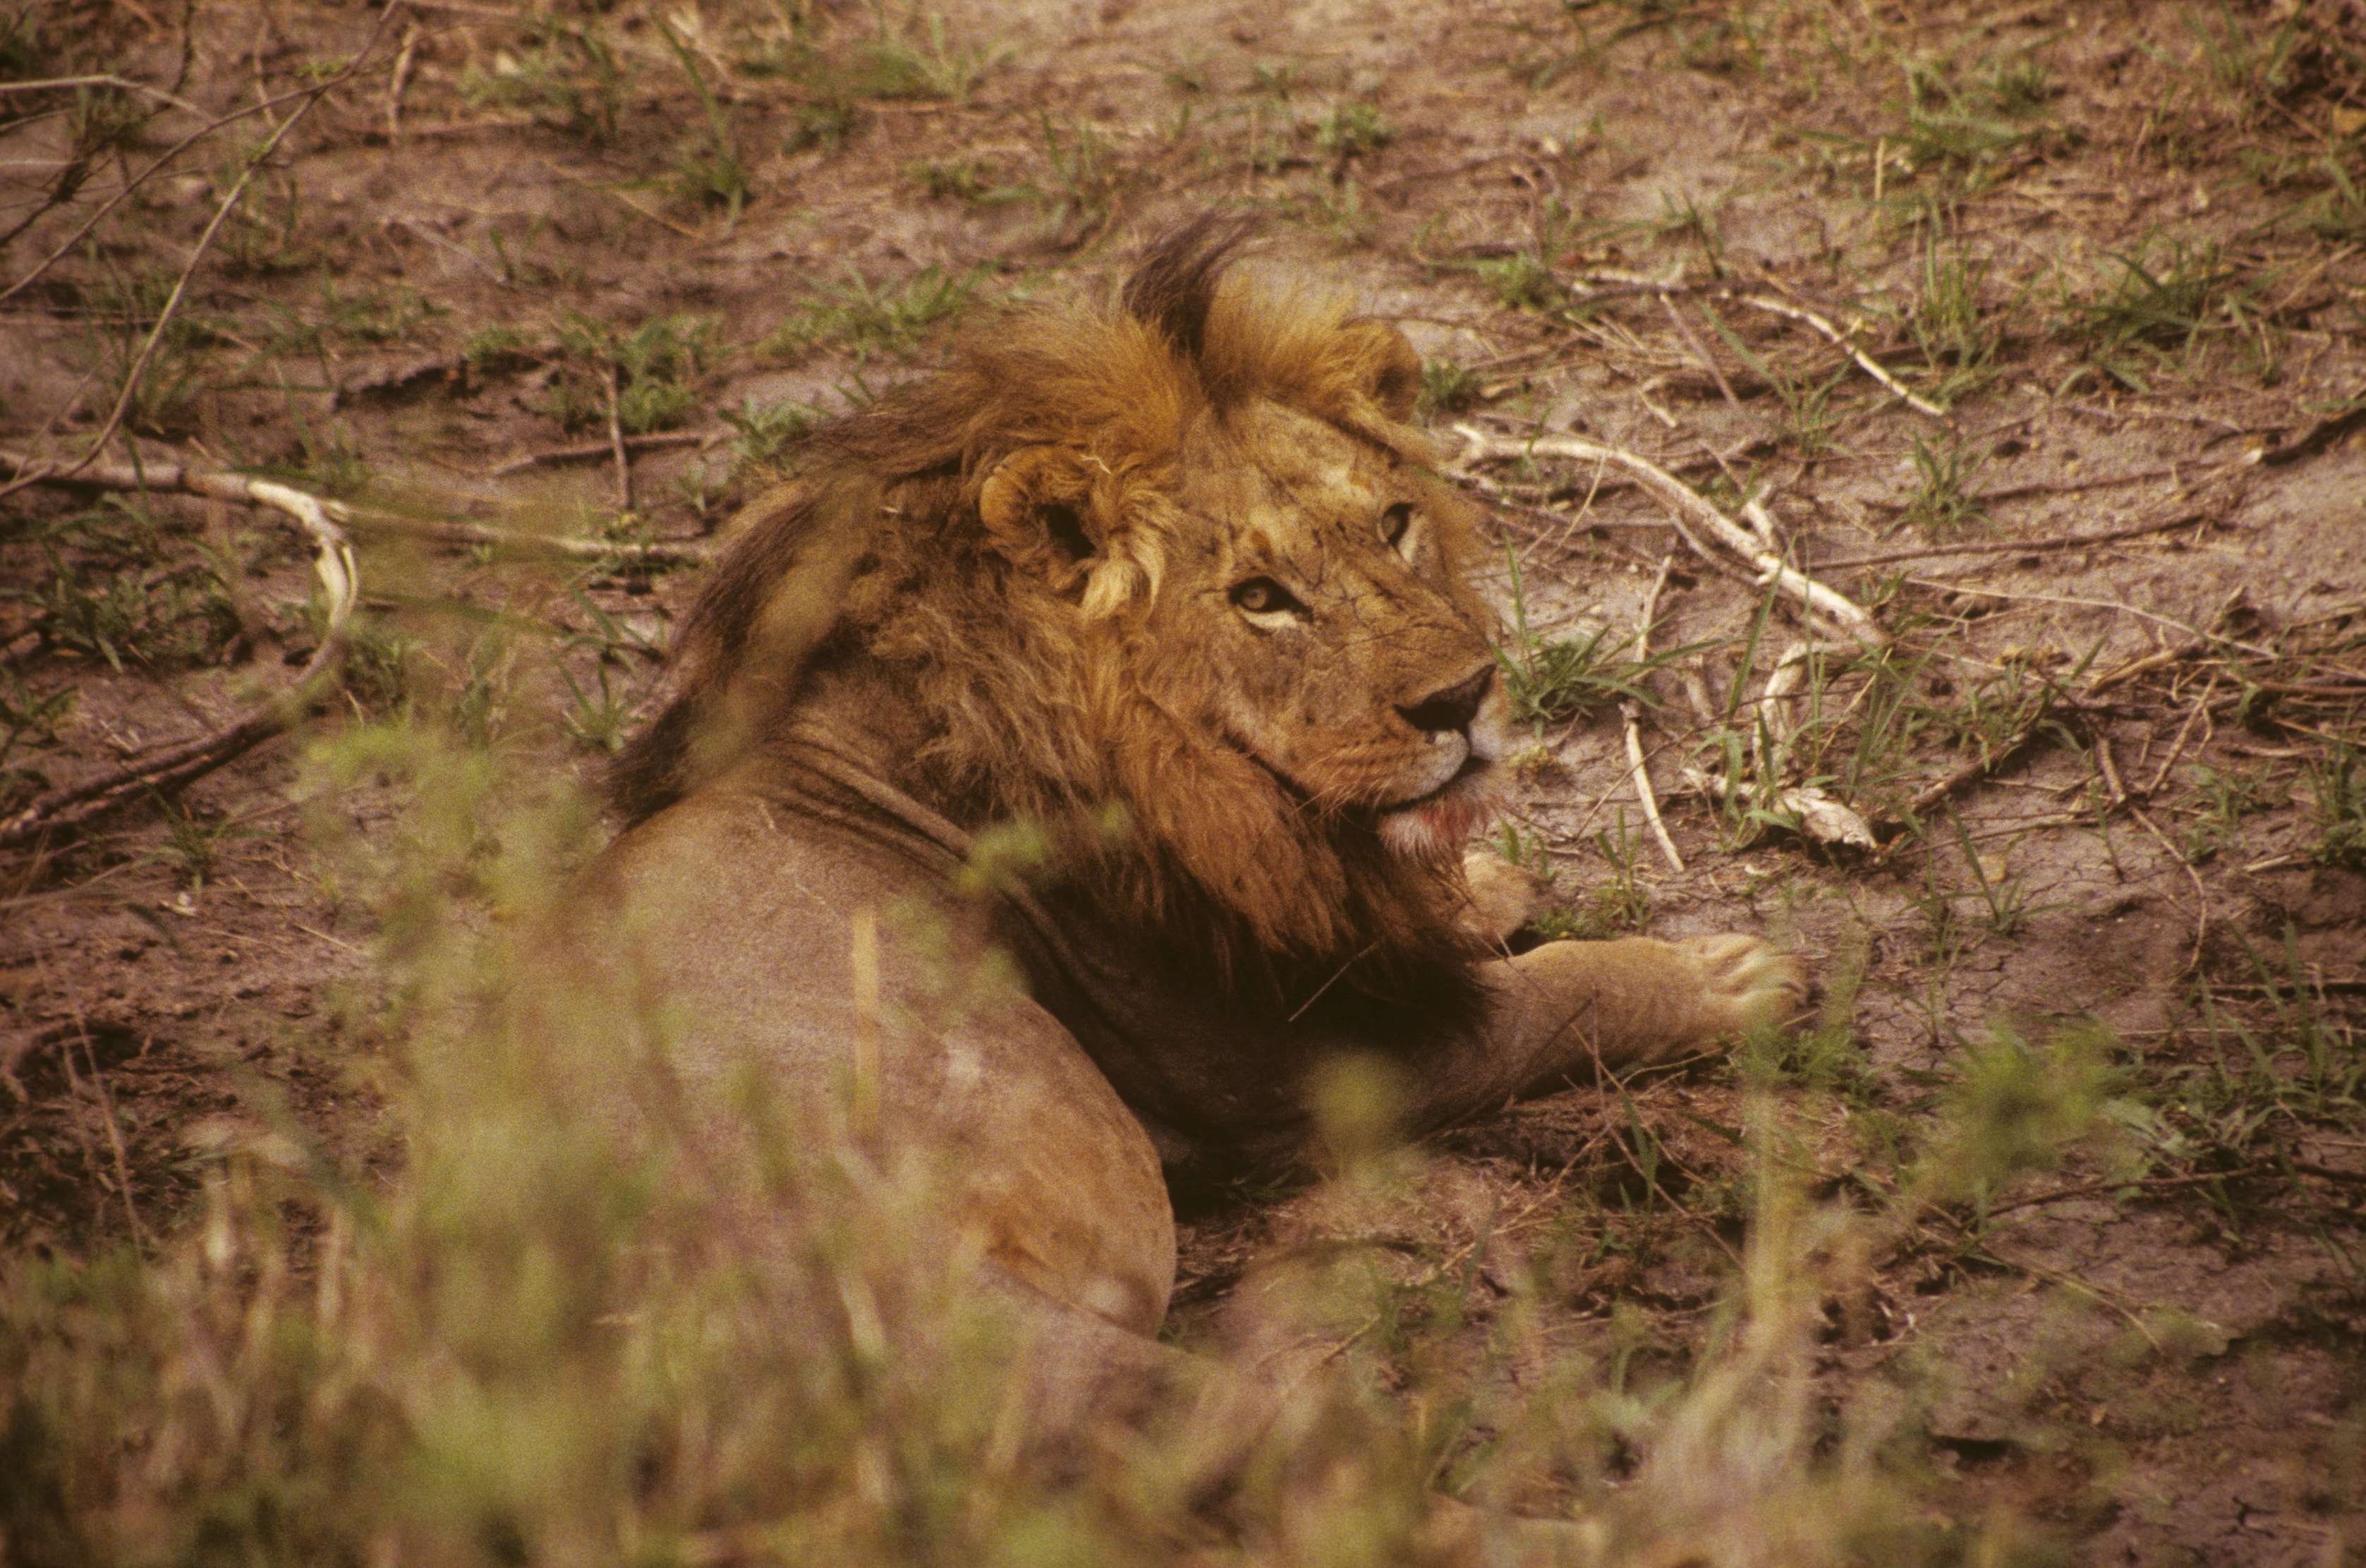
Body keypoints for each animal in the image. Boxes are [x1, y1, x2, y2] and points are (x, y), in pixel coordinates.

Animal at [568, 217, 1804, 1451]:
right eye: (1259, 597)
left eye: (1392, 523)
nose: (1462, 698)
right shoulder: (1272, 1074)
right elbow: (1547, 999)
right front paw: (1725, 976)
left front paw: (1482, 883)